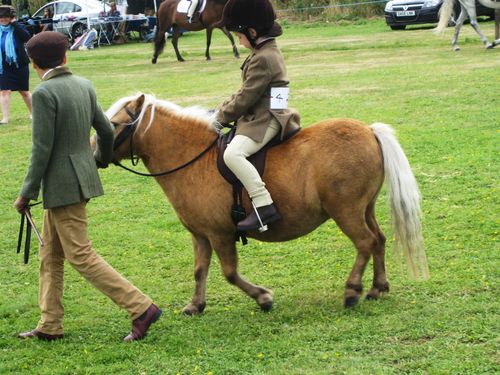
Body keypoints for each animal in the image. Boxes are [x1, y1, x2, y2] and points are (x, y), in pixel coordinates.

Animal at [102, 93, 430, 314]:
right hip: (365, 208)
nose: (95, 154)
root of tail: (369, 130)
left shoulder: (220, 234)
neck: (192, 158)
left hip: (346, 211)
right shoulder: (200, 234)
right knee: (379, 240)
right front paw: (195, 305)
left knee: (365, 242)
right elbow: (199, 270)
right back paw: (377, 287)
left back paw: (352, 292)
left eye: (114, 124)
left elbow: (230, 273)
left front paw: (263, 297)